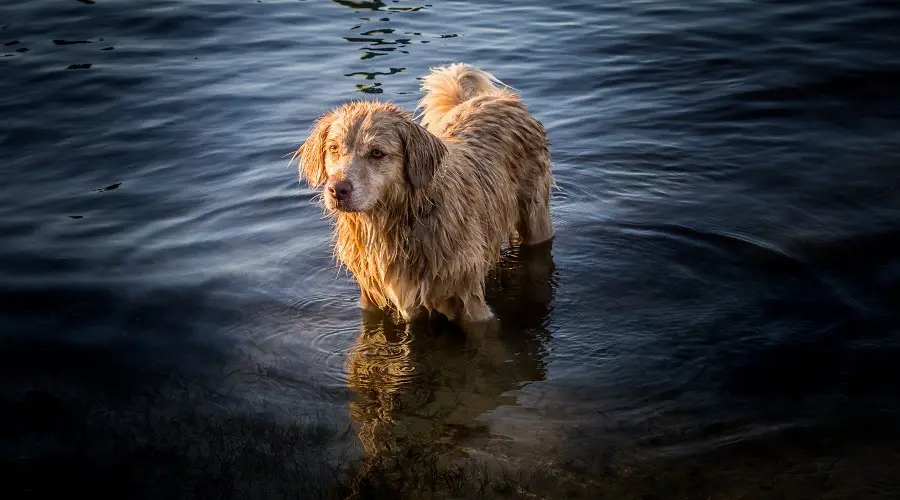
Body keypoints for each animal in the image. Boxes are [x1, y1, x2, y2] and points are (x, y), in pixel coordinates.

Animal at [296, 63, 552, 324]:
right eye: (333, 149)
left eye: (377, 153)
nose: (337, 189)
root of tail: (499, 98)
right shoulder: (371, 294)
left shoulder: (470, 301)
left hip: (536, 217)